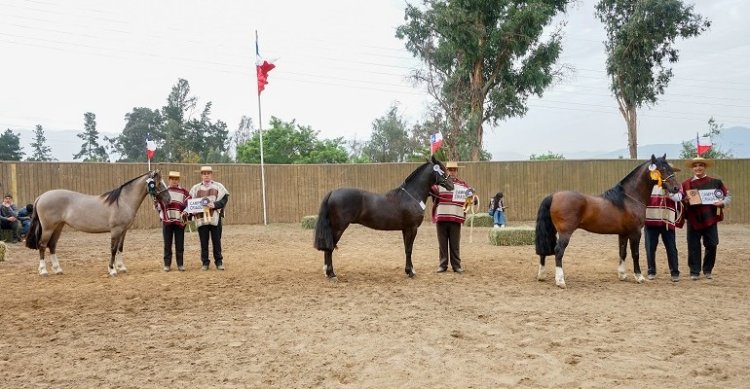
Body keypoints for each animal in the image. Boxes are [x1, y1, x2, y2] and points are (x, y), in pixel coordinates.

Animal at [25, 171, 170, 276]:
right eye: (158, 184)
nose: (169, 199)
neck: (123, 201)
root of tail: (41, 197)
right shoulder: (116, 230)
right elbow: (113, 249)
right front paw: (112, 270)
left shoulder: (123, 231)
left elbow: (120, 248)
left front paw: (121, 267)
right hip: (48, 228)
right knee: (42, 245)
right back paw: (44, 271)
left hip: (58, 227)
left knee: (52, 245)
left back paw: (58, 269)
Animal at [316, 155, 456, 278]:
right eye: (442, 169)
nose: (452, 185)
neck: (412, 195)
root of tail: (332, 192)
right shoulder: (412, 228)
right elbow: (409, 249)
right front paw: (411, 272)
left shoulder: (405, 229)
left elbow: (406, 249)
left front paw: (409, 270)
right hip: (338, 228)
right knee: (329, 248)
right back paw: (331, 274)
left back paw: (327, 272)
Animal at [536, 155, 680, 288]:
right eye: (662, 169)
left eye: (670, 168)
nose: (676, 188)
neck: (629, 198)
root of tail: (553, 196)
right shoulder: (635, 232)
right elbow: (635, 254)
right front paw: (639, 277)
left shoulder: (623, 234)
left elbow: (622, 252)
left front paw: (622, 275)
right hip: (565, 233)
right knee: (558, 251)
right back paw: (560, 281)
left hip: (552, 231)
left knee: (545, 249)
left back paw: (541, 275)